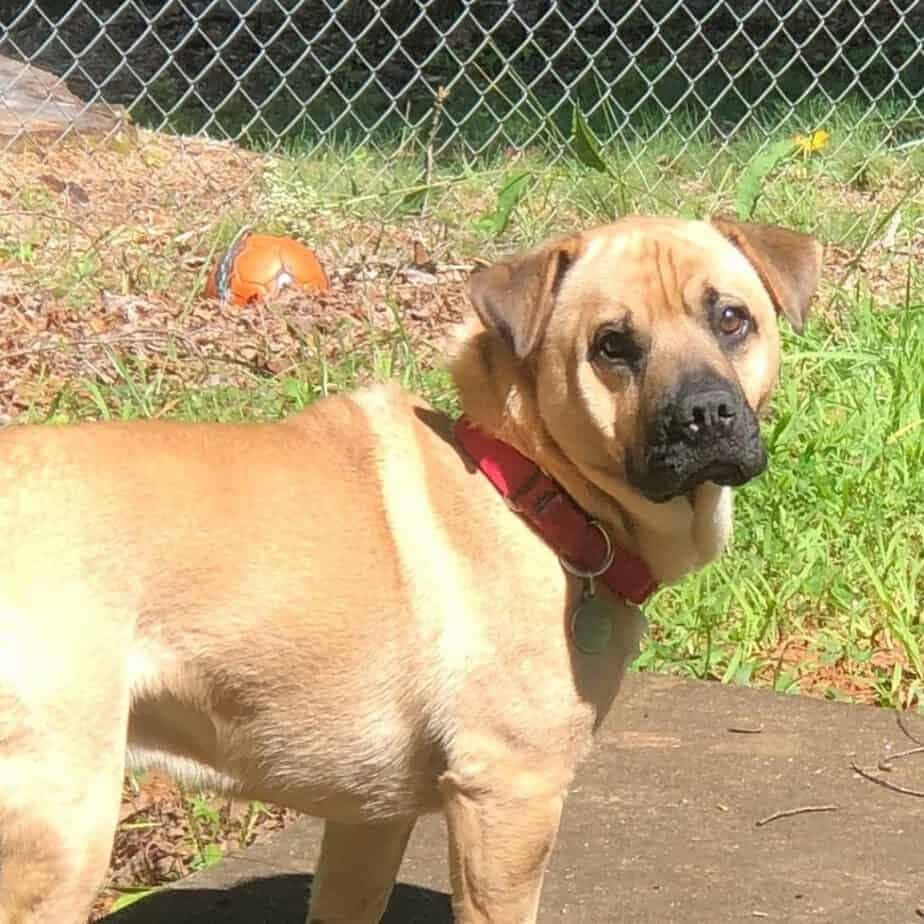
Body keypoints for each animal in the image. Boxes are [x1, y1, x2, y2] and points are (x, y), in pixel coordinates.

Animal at [0, 218, 824, 924]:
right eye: (612, 345)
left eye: (731, 318)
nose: (705, 414)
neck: (531, 487)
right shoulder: (508, 801)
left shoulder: (368, 823)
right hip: (62, 838)